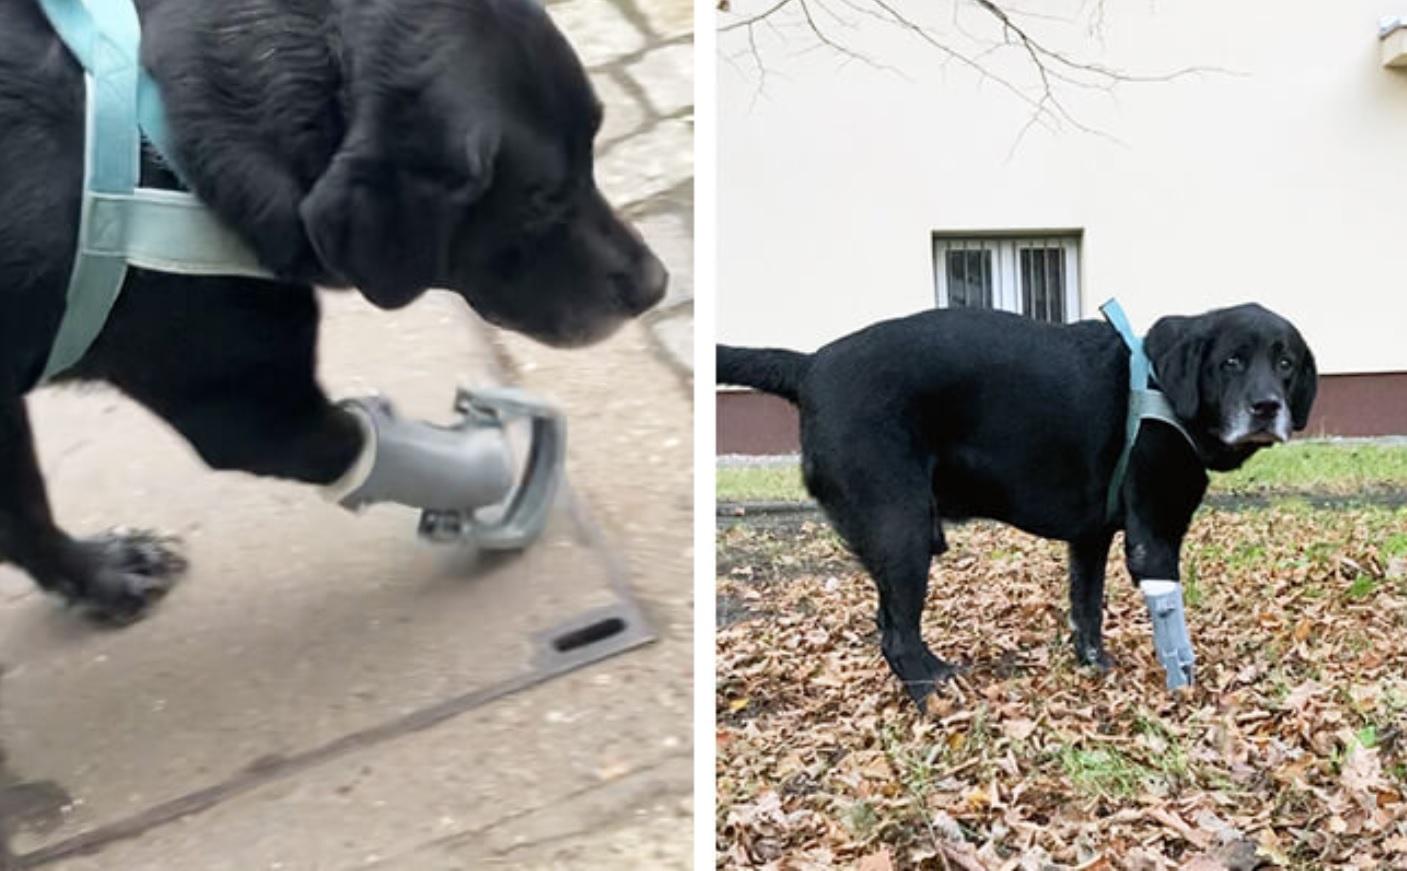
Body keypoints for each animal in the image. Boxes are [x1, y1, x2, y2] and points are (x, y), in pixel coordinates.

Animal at [1, 0, 669, 627]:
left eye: (594, 149)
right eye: (541, 200)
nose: (656, 284)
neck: (161, 148)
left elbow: (23, 510)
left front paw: (97, 577)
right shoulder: (259, 415)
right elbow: (376, 442)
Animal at [720, 305, 1311, 709]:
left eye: (1285, 362)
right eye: (1231, 362)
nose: (1267, 407)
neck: (1162, 385)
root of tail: (810, 365)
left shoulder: (1090, 540)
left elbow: (1086, 610)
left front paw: (1094, 666)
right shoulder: (1154, 542)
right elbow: (1173, 635)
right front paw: (1184, 689)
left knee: (889, 623)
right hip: (901, 530)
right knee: (896, 634)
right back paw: (932, 691)